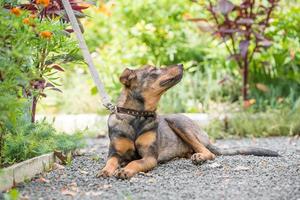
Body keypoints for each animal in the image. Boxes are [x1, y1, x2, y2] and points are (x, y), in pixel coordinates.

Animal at [96, 64, 278, 180]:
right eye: (153, 69)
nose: (181, 64)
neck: (137, 116)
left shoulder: (149, 157)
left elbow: (135, 162)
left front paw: (125, 171)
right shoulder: (115, 153)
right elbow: (111, 161)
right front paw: (105, 170)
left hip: (177, 121)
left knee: (208, 152)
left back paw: (200, 157)